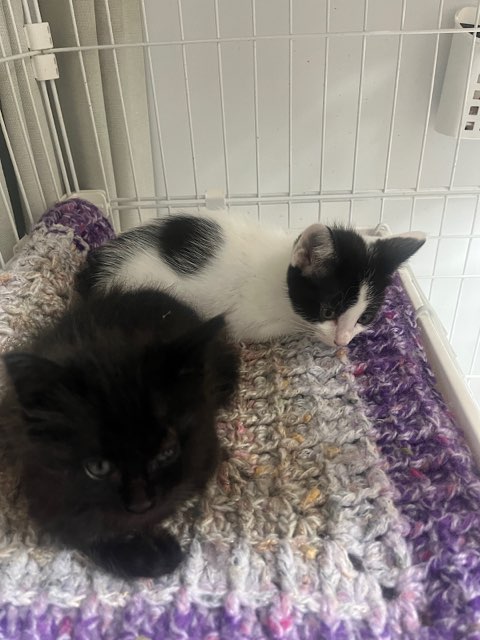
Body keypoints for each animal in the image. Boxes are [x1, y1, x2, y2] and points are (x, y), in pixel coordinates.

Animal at [1, 287, 239, 579]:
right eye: (98, 467)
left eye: (167, 452)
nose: (141, 505)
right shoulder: (44, 489)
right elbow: (83, 534)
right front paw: (153, 556)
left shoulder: (205, 453)